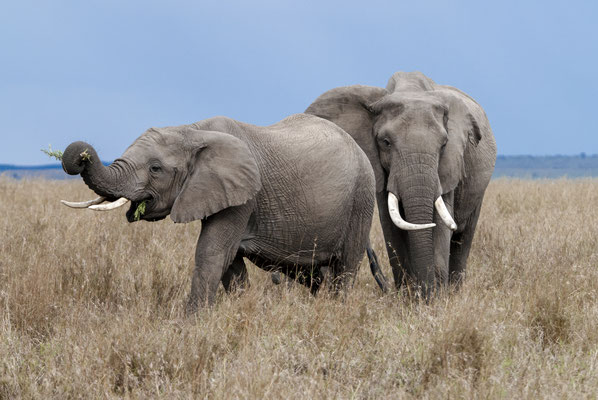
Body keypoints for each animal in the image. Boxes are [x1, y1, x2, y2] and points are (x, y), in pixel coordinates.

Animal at [58, 114, 382, 310]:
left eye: (155, 169)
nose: (82, 157)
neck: (193, 130)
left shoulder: (244, 197)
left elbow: (212, 253)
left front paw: (189, 325)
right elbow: (230, 263)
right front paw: (238, 311)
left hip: (362, 197)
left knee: (345, 268)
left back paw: (336, 311)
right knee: (315, 274)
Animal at [308, 71, 500, 296]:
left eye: (444, 144)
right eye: (386, 142)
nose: (426, 294)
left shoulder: (448, 167)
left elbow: (441, 223)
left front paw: (436, 299)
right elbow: (392, 227)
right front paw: (408, 297)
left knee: (463, 239)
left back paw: (454, 292)